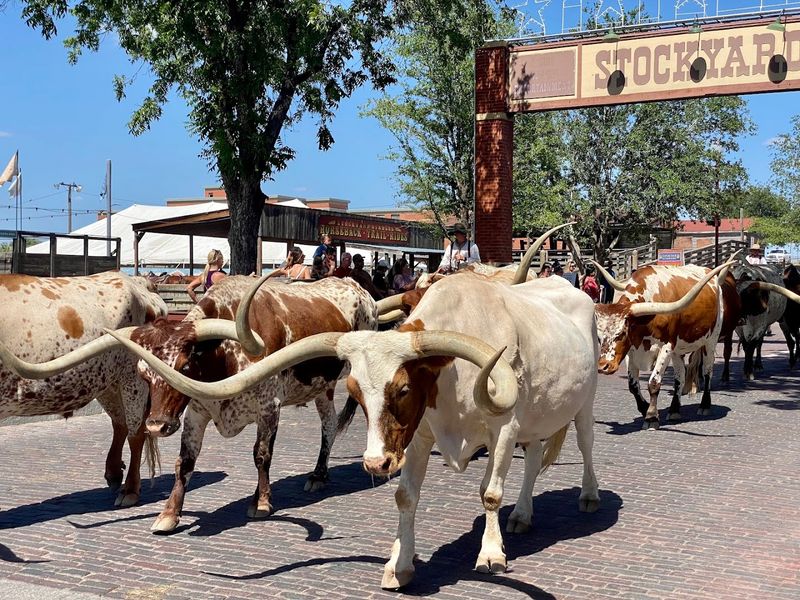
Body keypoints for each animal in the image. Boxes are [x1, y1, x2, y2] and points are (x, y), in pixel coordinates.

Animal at [0, 272, 167, 506]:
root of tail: (138, 280)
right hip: (106, 382)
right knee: (120, 423)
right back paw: (114, 473)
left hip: (134, 377)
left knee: (136, 433)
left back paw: (130, 490)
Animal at [108, 265, 602, 589]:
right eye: (358, 392)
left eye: (403, 388)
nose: (375, 463)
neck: (454, 373)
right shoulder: (417, 436)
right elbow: (406, 496)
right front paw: (399, 566)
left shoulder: (502, 430)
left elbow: (491, 493)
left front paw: (491, 554)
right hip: (539, 412)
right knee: (535, 457)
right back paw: (522, 515)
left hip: (582, 404)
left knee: (584, 444)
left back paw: (588, 497)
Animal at [592, 262, 734, 429]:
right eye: (599, 337)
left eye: (621, 333)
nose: (603, 366)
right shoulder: (631, 350)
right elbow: (633, 385)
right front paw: (645, 408)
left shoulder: (666, 346)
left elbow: (654, 382)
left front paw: (651, 417)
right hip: (678, 349)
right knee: (680, 375)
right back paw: (674, 410)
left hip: (710, 340)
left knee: (707, 371)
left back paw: (705, 405)